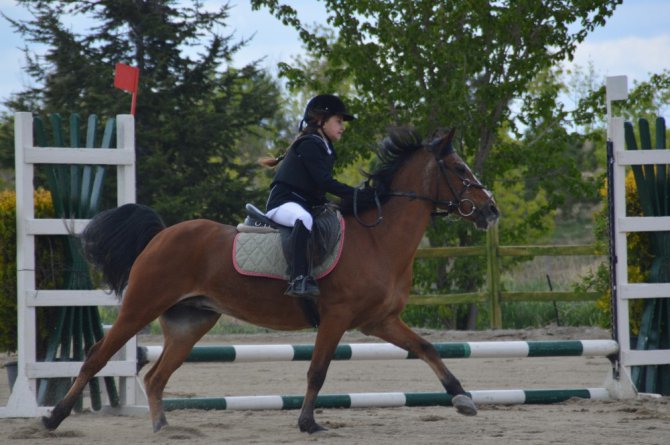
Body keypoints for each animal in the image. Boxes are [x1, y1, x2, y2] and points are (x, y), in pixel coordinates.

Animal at [42, 126, 498, 432]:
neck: (379, 239)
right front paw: (308, 423)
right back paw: (54, 418)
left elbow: (426, 348)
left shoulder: (379, 321)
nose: (491, 210)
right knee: (97, 356)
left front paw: (462, 398)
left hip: (191, 321)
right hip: (141, 306)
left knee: (156, 376)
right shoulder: (336, 318)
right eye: (459, 168)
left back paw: (163, 429)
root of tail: (161, 235)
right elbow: (317, 371)